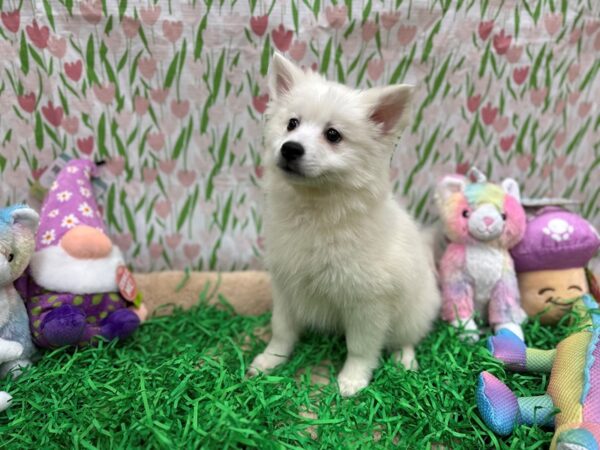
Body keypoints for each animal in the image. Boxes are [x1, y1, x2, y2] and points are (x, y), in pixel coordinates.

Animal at [248, 53, 440, 398]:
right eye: (292, 124)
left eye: (333, 135)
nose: (290, 148)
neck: (315, 209)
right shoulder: (285, 286)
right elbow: (282, 330)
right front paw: (269, 361)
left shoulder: (368, 303)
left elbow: (360, 348)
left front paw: (352, 380)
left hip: (411, 312)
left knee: (406, 338)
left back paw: (405, 362)